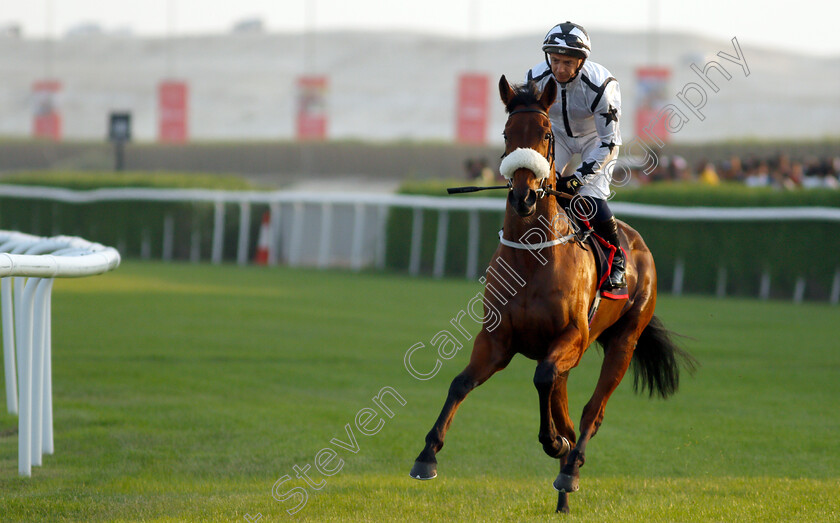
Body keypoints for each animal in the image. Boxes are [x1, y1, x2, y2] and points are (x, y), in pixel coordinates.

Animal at [408, 75, 696, 512]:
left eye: (546, 133)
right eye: (507, 132)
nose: (524, 196)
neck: (532, 257)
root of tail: (639, 245)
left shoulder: (571, 337)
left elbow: (542, 380)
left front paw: (553, 444)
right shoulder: (497, 339)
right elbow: (460, 383)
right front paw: (427, 456)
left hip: (623, 340)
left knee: (592, 411)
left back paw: (570, 468)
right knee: (566, 408)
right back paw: (563, 483)